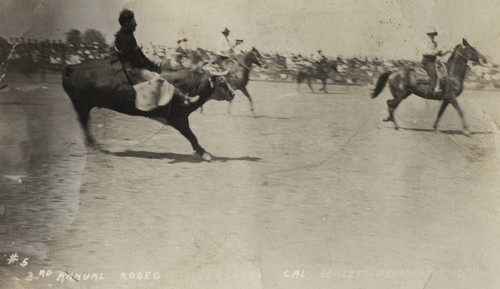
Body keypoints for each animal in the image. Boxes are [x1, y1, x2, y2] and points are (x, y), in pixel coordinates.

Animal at [62, 59, 234, 161]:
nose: (233, 93)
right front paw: (205, 153)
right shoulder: (178, 118)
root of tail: (72, 67)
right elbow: (192, 136)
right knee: (84, 123)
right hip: (82, 105)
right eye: (222, 82)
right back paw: (94, 146)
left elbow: (192, 136)